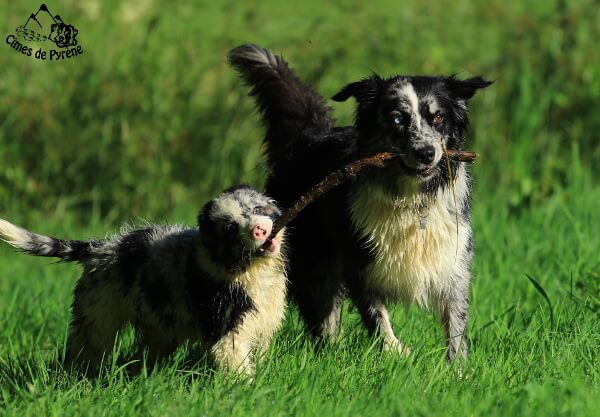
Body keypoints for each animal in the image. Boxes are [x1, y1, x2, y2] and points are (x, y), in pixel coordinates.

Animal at [0, 185, 288, 374]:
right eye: (230, 228)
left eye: (256, 208)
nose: (258, 230)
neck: (247, 270)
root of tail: (99, 248)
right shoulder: (226, 330)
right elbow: (237, 366)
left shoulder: (262, 324)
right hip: (97, 317)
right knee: (86, 350)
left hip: (157, 329)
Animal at [230, 44, 492, 360]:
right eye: (397, 119)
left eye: (438, 117)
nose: (426, 153)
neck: (411, 198)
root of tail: (310, 135)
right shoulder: (359, 258)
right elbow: (377, 315)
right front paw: (397, 352)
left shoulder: (453, 259)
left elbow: (455, 324)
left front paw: (457, 368)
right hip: (314, 257)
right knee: (322, 310)